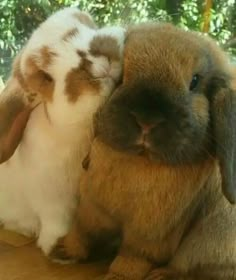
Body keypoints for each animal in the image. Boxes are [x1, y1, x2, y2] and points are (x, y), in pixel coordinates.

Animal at [0, 6, 125, 256]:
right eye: (46, 78)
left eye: (81, 25)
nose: (101, 66)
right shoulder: (53, 196)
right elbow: (58, 220)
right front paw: (58, 245)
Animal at [50, 22, 236, 280]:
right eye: (121, 76)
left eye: (195, 82)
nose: (147, 121)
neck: (139, 161)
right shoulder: (92, 209)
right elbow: (82, 232)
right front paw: (61, 250)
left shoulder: (152, 233)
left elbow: (134, 256)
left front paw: (117, 276)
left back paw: (163, 275)